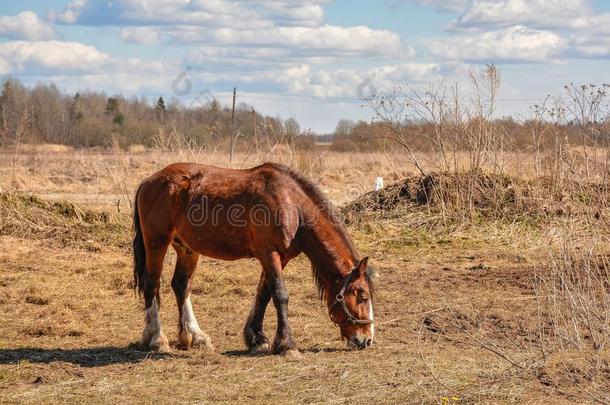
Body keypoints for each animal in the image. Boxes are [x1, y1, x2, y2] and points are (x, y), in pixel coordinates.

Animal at [132, 161, 376, 354]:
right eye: (362, 295)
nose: (366, 339)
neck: (291, 204)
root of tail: (148, 181)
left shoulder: (280, 257)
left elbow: (264, 294)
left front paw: (257, 338)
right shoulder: (269, 253)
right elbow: (280, 295)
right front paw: (286, 345)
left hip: (187, 249)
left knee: (181, 286)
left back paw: (194, 336)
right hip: (157, 244)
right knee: (152, 285)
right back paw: (156, 338)